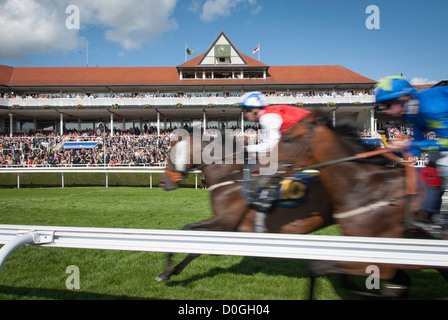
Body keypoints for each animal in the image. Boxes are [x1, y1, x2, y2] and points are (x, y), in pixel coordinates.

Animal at [158, 134, 332, 282]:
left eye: (169, 154)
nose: (162, 182)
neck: (229, 178)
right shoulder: (228, 227)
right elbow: (194, 245)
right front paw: (169, 271)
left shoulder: (224, 222)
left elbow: (187, 231)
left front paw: (166, 272)